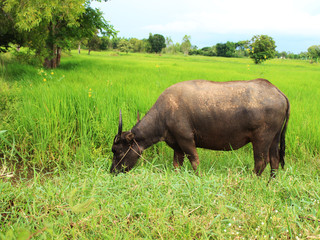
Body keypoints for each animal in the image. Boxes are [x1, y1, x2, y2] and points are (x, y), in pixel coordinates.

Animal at [110, 79, 290, 176]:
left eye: (117, 150)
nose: (112, 171)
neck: (164, 114)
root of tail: (278, 92)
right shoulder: (177, 145)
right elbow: (177, 164)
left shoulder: (186, 139)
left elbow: (195, 162)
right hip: (274, 138)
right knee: (274, 160)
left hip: (261, 139)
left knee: (261, 162)